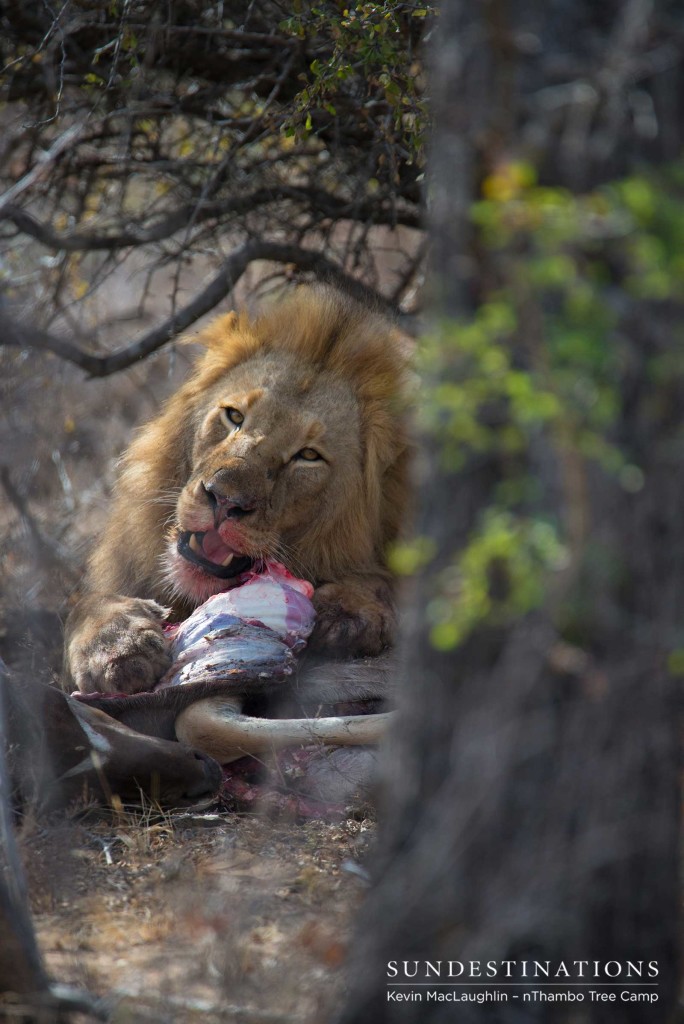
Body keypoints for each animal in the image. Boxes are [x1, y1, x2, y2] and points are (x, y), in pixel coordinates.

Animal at [63, 284, 413, 692]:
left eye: (308, 456)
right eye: (234, 416)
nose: (224, 500)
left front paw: (348, 610)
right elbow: (84, 606)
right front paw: (118, 644)